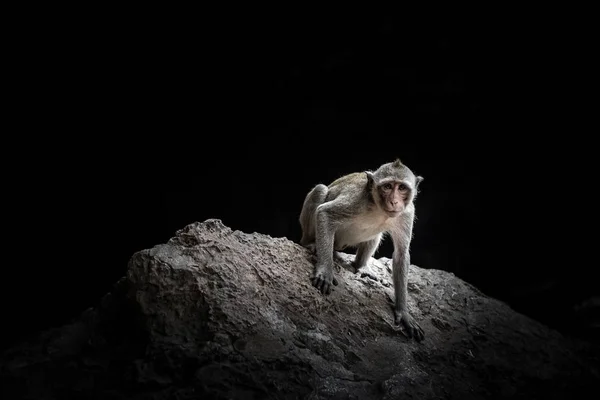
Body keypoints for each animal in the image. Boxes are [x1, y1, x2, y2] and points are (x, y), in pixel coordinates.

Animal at [298, 159, 422, 340]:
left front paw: (403, 312)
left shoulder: (407, 212)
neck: (378, 208)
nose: (394, 202)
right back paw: (311, 244)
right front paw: (325, 271)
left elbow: (401, 255)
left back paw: (361, 266)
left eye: (401, 188)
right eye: (387, 186)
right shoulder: (357, 201)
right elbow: (325, 213)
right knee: (320, 189)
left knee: (376, 234)